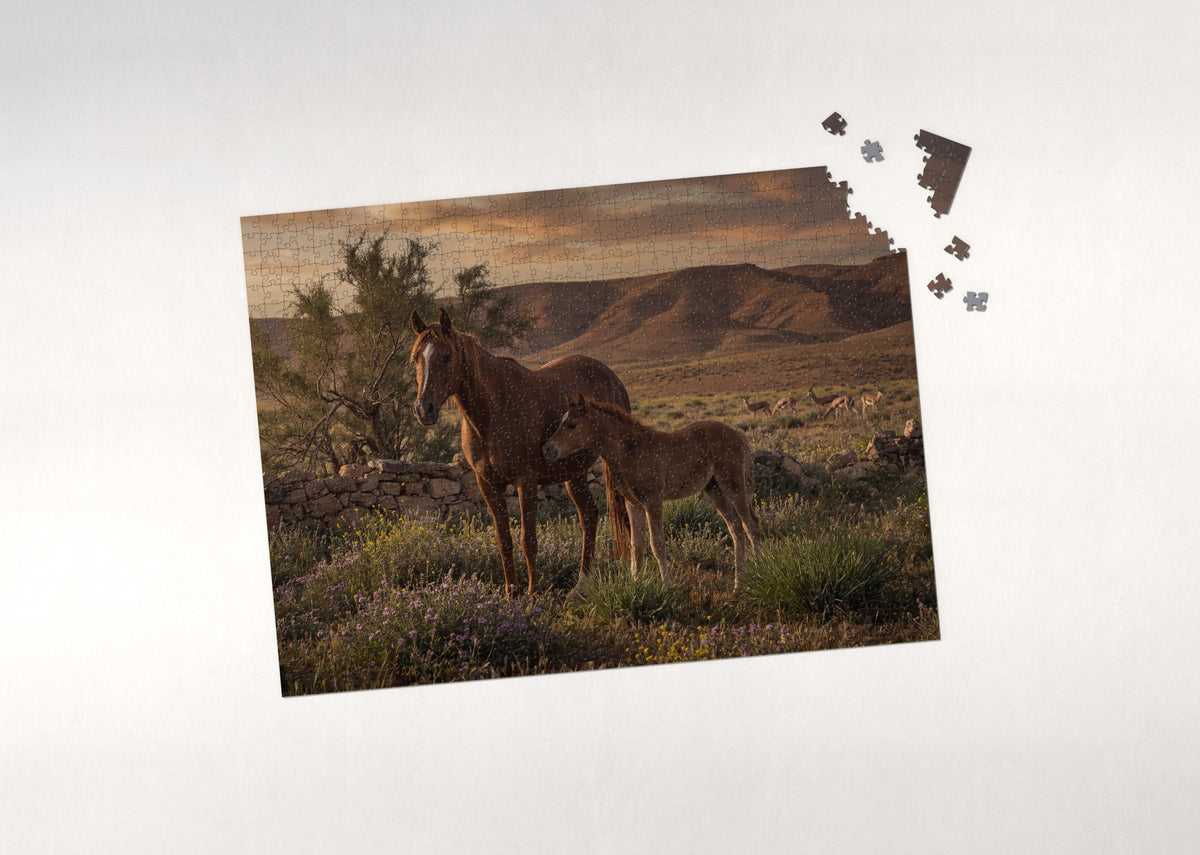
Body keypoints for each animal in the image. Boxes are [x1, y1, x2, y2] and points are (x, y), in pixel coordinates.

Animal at [410, 309, 631, 597]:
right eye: (416, 358)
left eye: (447, 356)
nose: (424, 409)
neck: (493, 411)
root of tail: (611, 377)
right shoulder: (488, 484)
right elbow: (504, 539)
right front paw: (511, 591)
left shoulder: (525, 481)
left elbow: (529, 540)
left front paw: (533, 593)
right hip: (574, 473)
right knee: (589, 516)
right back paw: (582, 582)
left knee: (627, 515)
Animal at [543, 394, 760, 590]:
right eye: (561, 422)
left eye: (572, 425)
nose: (547, 449)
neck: (630, 451)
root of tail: (739, 435)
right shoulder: (633, 502)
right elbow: (637, 545)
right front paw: (636, 585)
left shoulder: (653, 500)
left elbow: (657, 544)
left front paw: (667, 587)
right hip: (714, 488)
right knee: (735, 527)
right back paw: (738, 585)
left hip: (733, 484)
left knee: (750, 525)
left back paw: (760, 568)